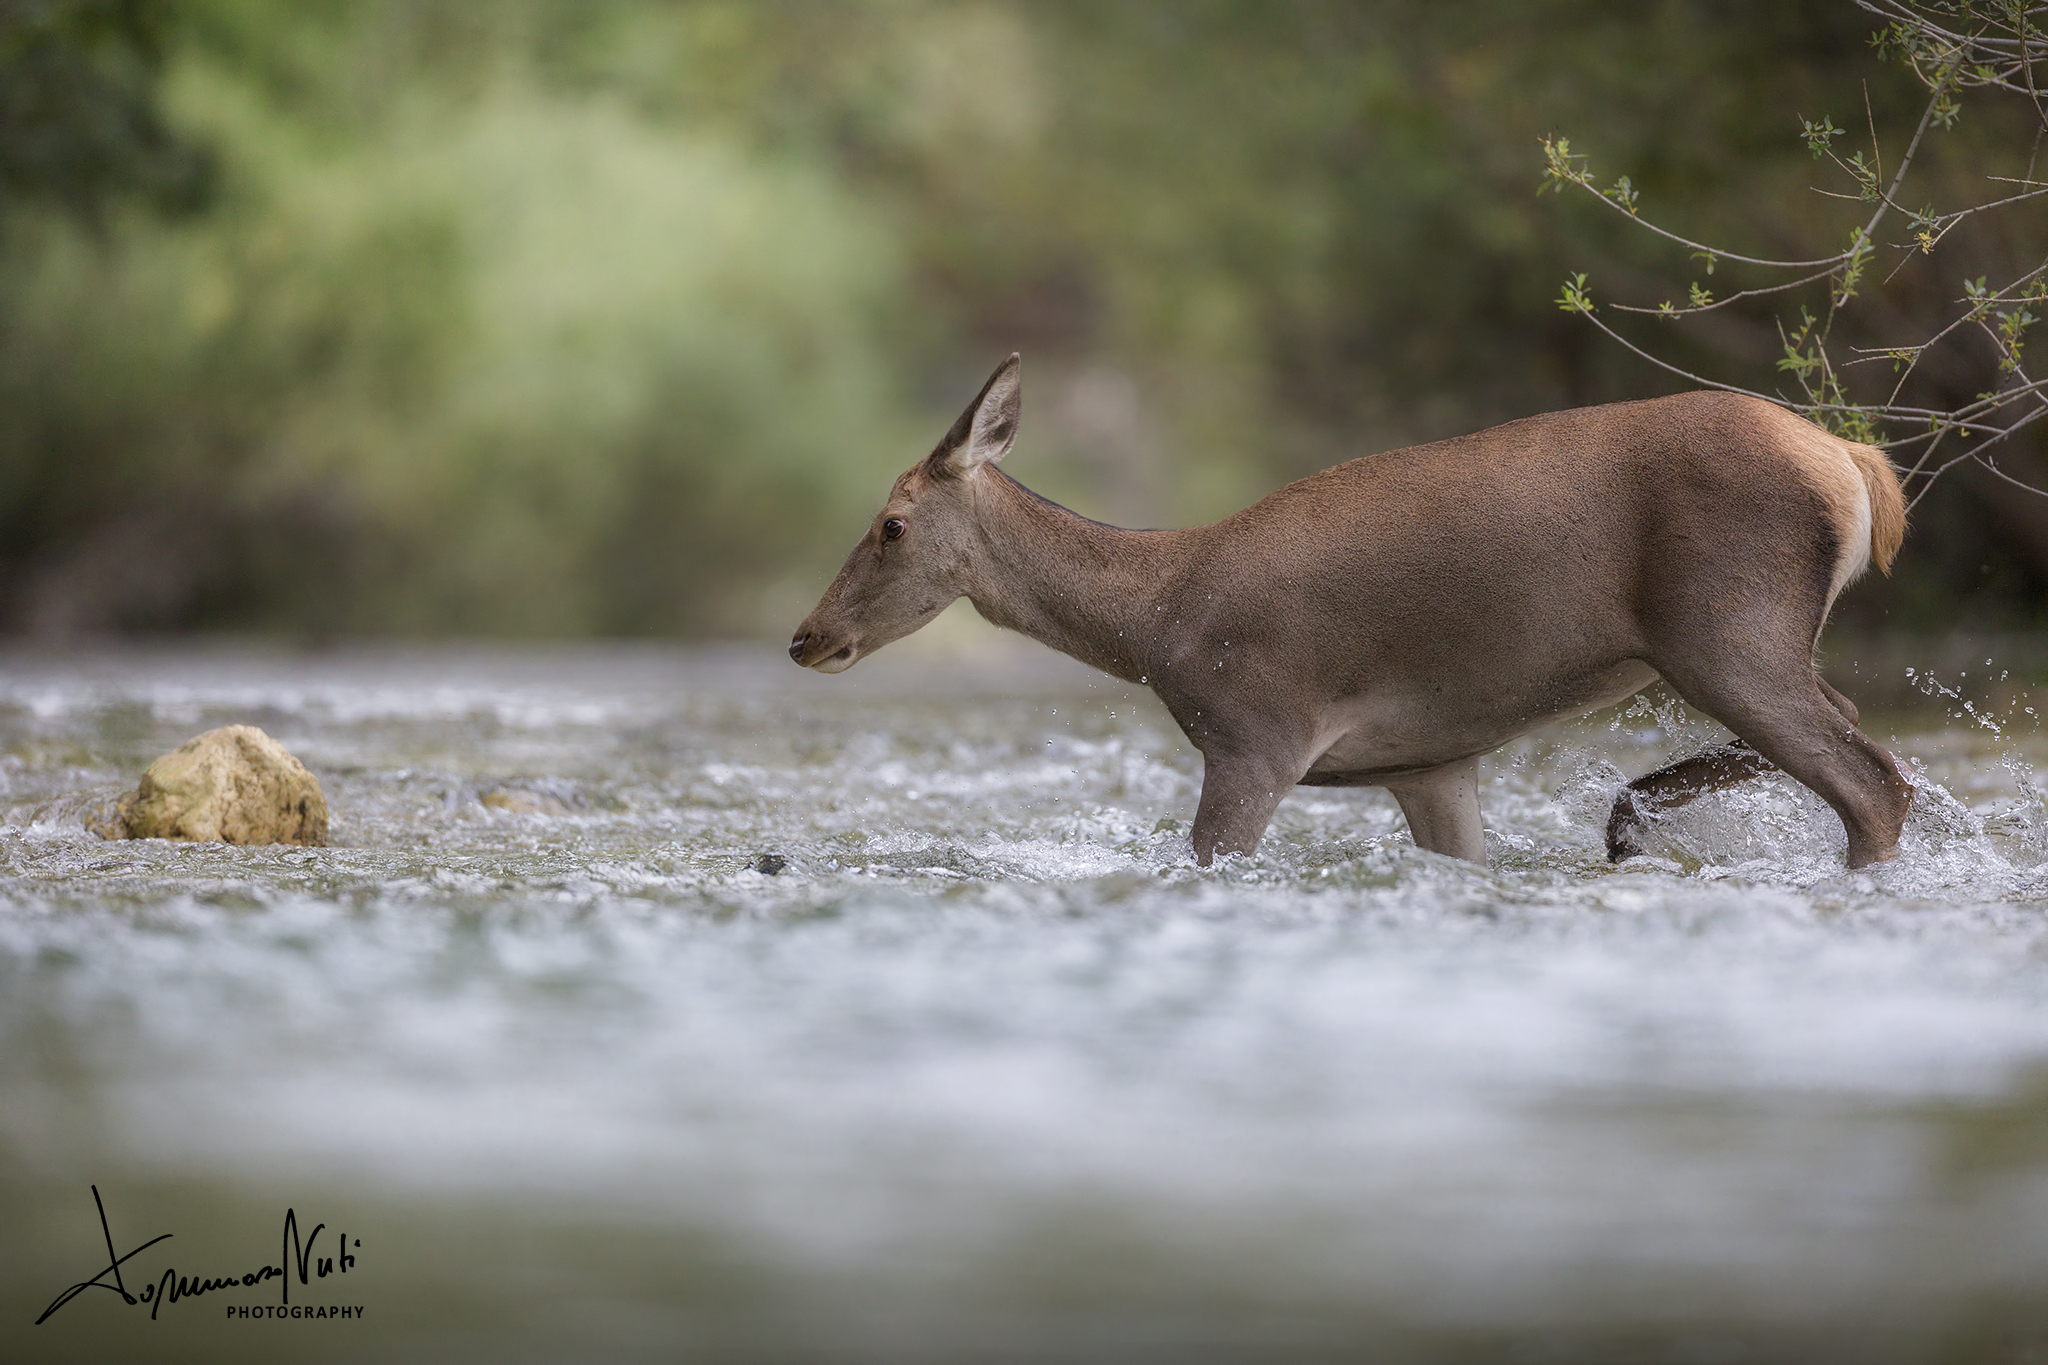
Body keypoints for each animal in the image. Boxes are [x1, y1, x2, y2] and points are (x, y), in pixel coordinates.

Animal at [790, 354, 1914, 869]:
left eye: (890, 524)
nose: (806, 635)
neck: (1155, 620)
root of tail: (1853, 463)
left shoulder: (1256, 730)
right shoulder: (1429, 761)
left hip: (1725, 628)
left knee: (1872, 781)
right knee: (1860, 731)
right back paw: (1632, 819)